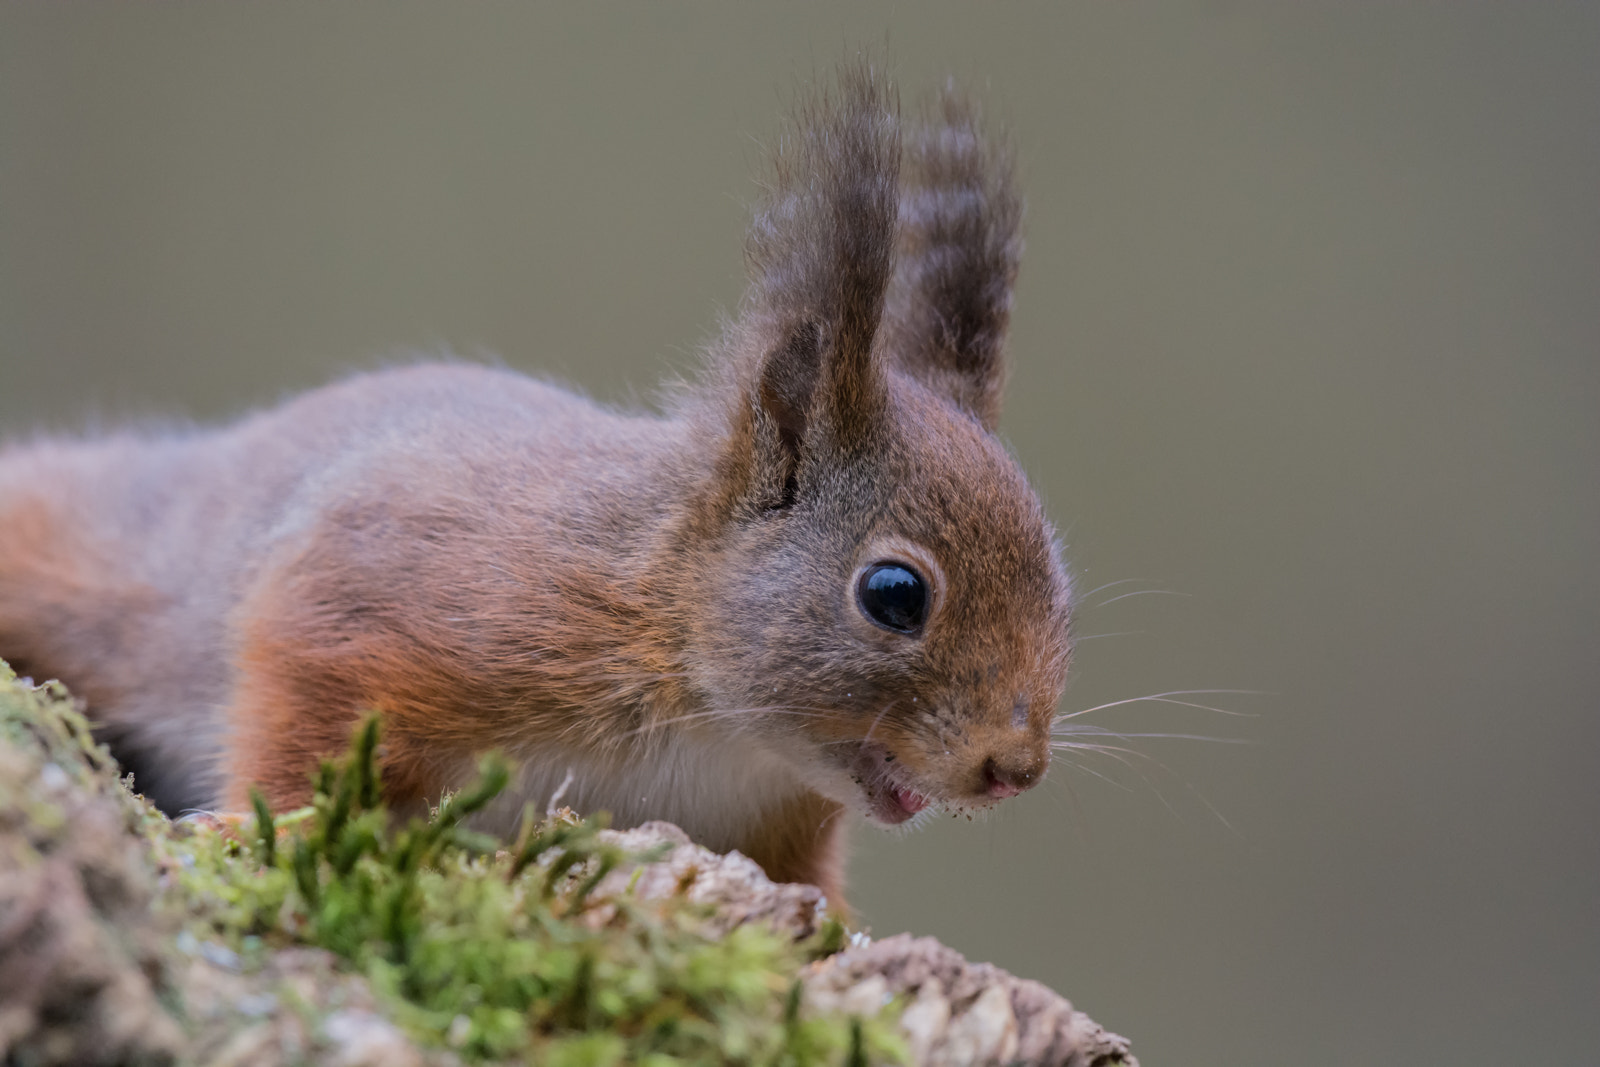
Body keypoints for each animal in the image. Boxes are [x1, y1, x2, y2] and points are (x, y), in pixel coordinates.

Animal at [6, 62, 1075, 908]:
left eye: (1062, 590)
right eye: (894, 594)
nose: (1014, 770)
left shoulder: (777, 820)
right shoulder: (401, 597)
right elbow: (297, 705)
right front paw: (258, 828)